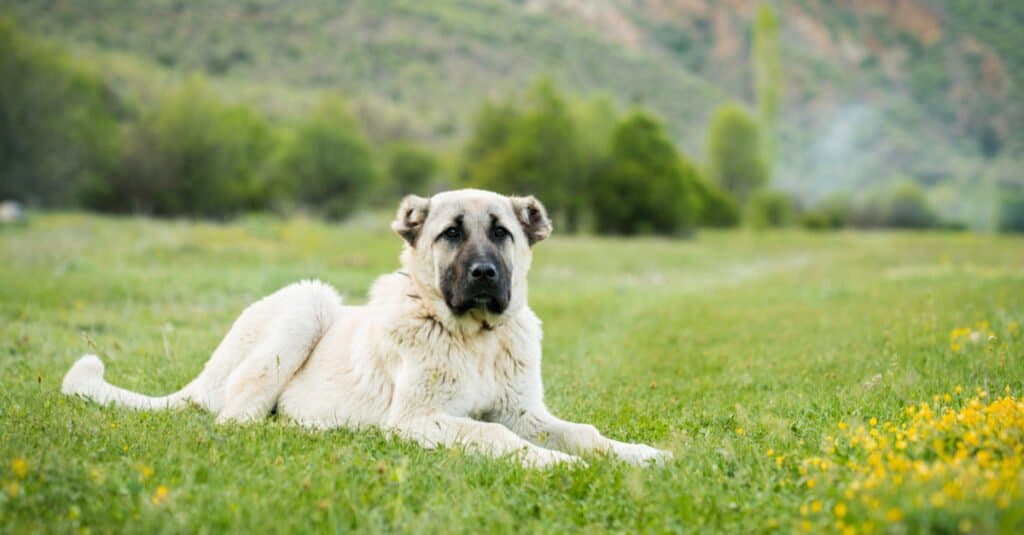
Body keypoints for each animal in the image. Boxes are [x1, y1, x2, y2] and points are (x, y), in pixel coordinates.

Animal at [64, 189, 671, 463]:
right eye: (452, 233)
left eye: (501, 233)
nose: (484, 273)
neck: (474, 337)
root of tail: (200, 380)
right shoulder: (417, 419)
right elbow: (498, 437)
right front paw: (556, 465)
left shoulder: (525, 412)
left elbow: (584, 433)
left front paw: (641, 455)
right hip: (308, 303)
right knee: (238, 419)